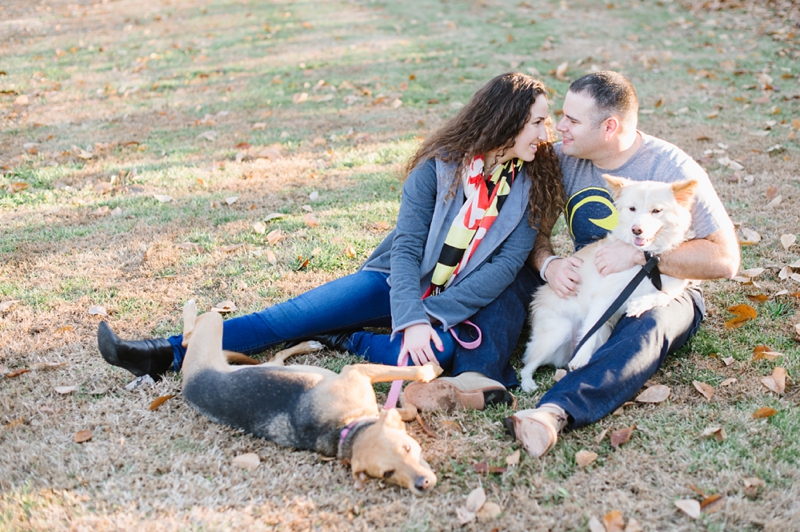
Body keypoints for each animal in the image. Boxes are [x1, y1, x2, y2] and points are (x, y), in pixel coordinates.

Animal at [180, 300, 444, 494]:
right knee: (188, 336)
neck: (345, 429)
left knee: (276, 356)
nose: (423, 485)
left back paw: (310, 344)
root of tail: (188, 384)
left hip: (261, 361)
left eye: (407, 448)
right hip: (212, 327)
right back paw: (190, 307)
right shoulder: (356, 371)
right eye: (387, 473)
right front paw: (432, 368)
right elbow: (417, 372)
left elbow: (406, 408)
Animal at [520, 175, 696, 390]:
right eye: (632, 208)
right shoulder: (605, 296)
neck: (645, 262)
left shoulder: (672, 286)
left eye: (656, 211)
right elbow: (591, 326)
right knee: (527, 363)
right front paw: (581, 358)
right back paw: (528, 383)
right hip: (559, 330)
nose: (636, 230)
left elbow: (660, 296)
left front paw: (639, 304)